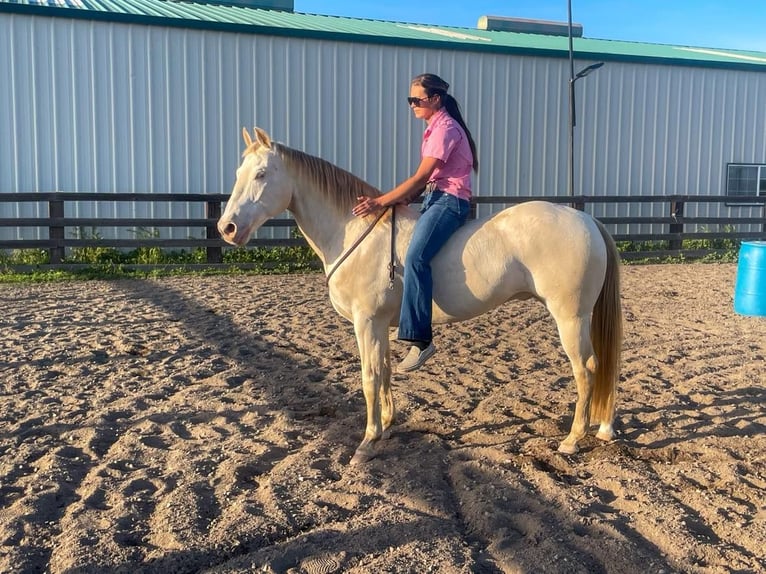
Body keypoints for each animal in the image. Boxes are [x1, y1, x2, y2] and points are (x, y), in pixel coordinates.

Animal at [218, 128, 624, 466]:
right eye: (237, 173)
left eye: (261, 174)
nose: (227, 228)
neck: (355, 231)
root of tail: (586, 220)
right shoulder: (379, 324)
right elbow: (383, 371)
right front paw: (386, 424)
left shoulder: (367, 322)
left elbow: (369, 376)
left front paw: (366, 443)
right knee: (601, 366)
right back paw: (603, 428)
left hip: (570, 317)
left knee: (586, 369)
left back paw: (573, 439)